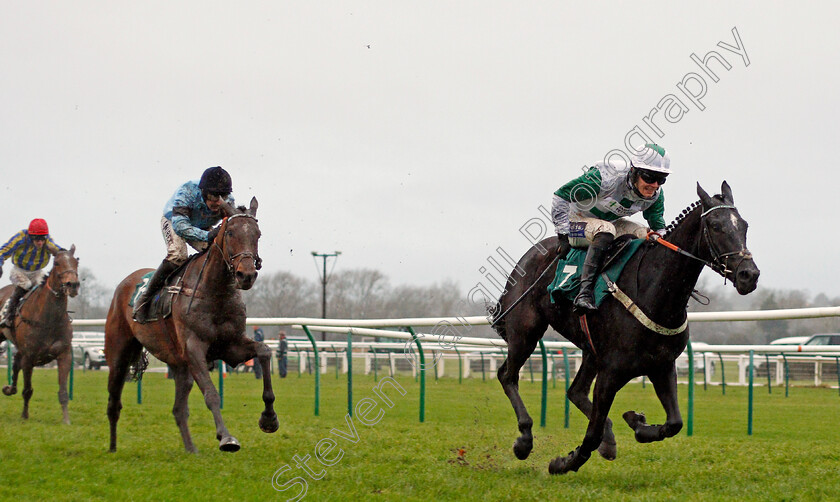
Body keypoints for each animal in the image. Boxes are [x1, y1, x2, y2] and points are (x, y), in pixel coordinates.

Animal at [0, 246, 80, 424]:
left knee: (16, 363)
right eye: (57, 263)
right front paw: (24, 416)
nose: (73, 285)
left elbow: (63, 392)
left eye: (76, 262)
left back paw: (10, 388)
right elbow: (27, 389)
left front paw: (66, 420)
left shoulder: (64, 355)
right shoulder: (29, 356)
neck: (49, 319)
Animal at [105, 198, 278, 452]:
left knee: (178, 410)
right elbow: (211, 393)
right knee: (114, 401)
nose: (246, 275)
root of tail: (124, 284)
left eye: (257, 234)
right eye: (230, 233)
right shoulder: (194, 348)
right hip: (119, 354)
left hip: (179, 365)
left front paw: (269, 418)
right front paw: (227, 438)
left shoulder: (231, 347)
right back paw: (112, 448)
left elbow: (264, 352)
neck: (215, 292)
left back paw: (191, 449)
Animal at [492, 182, 760, 472]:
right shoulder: (611, 372)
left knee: (575, 391)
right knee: (507, 375)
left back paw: (608, 439)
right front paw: (565, 462)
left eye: (744, 225)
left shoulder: (662, 365)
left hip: (590, 350)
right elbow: (591, 434)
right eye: (715, 225)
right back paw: (525, 439)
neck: (654, 293)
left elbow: (674, 423)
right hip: (525, 331)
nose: (749, 275)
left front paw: (636, 422)